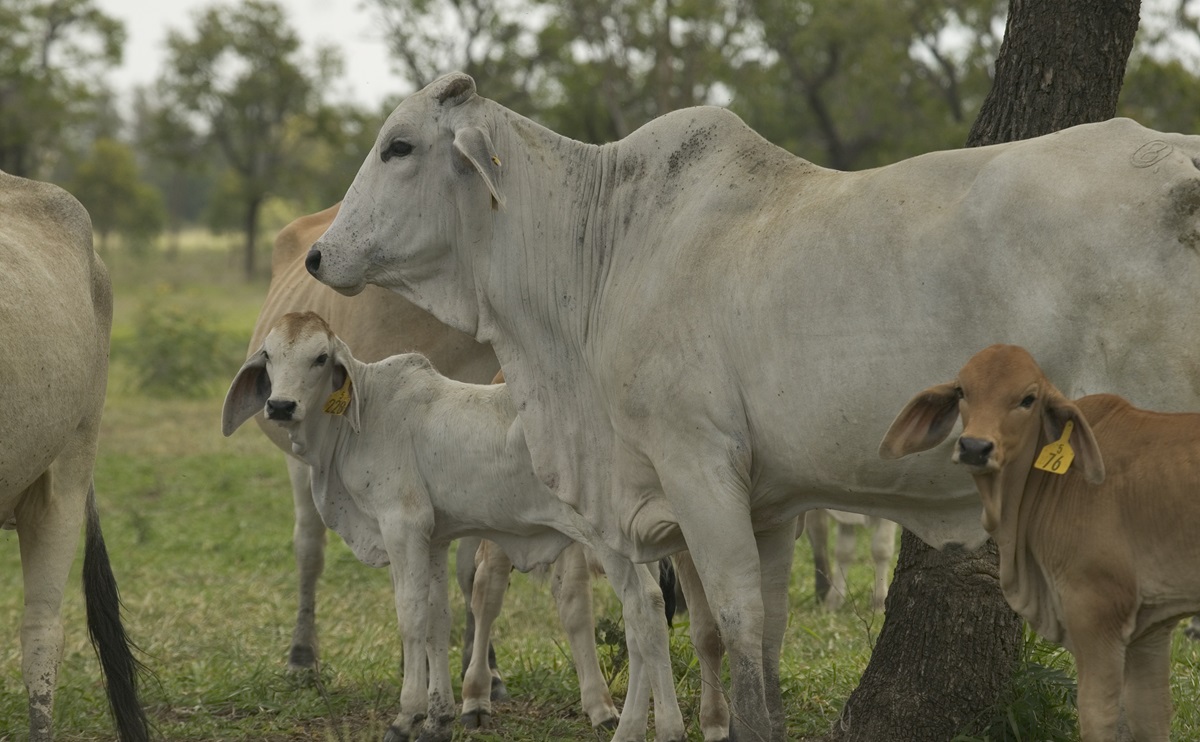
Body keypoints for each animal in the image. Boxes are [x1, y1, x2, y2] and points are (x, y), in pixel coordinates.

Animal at [878, 343, 1200, 739]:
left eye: (1027, 399)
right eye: (962, 391)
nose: (974, 447)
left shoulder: (1095, 611)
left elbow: (1098, 714)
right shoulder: (1150, 628)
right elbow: (1150, 717)